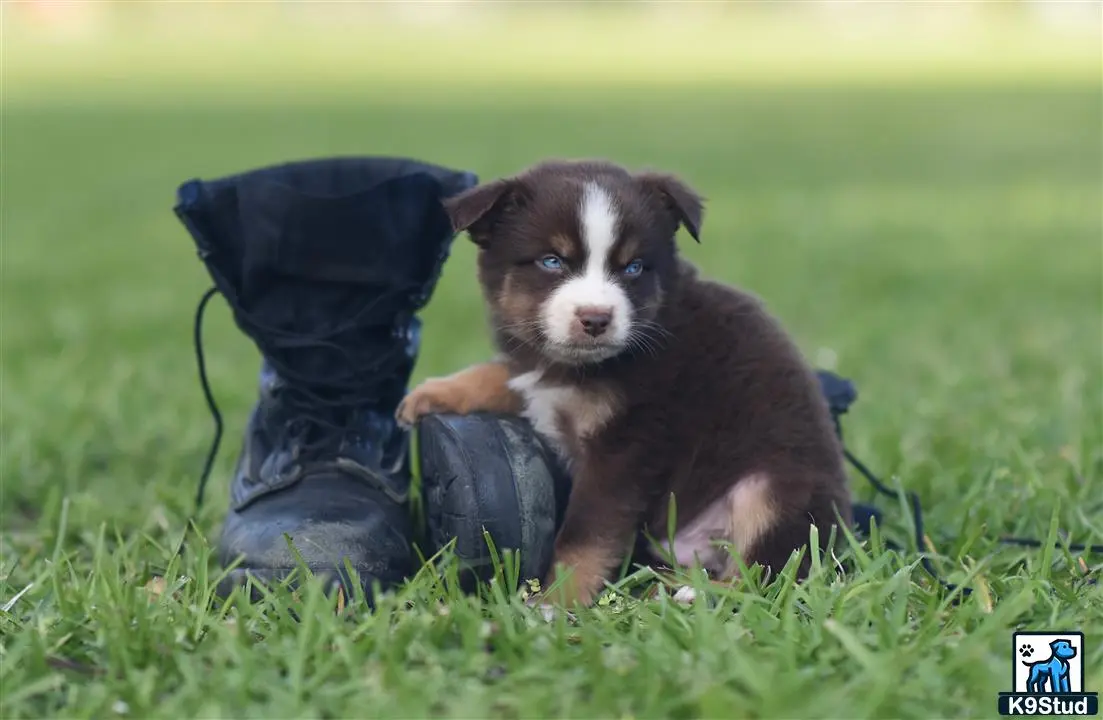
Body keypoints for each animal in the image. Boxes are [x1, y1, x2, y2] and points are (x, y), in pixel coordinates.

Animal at [397, 158, 851, 608]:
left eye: (633, 267)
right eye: (552, 261)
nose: (596, 319)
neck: (582, 366)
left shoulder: (629, 445)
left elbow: (586, 535)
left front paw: (556, 603)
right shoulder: (542, 369)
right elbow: (506, 374)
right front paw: (431, 394)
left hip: (774, 489)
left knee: (768, 576)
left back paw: (687, 595)